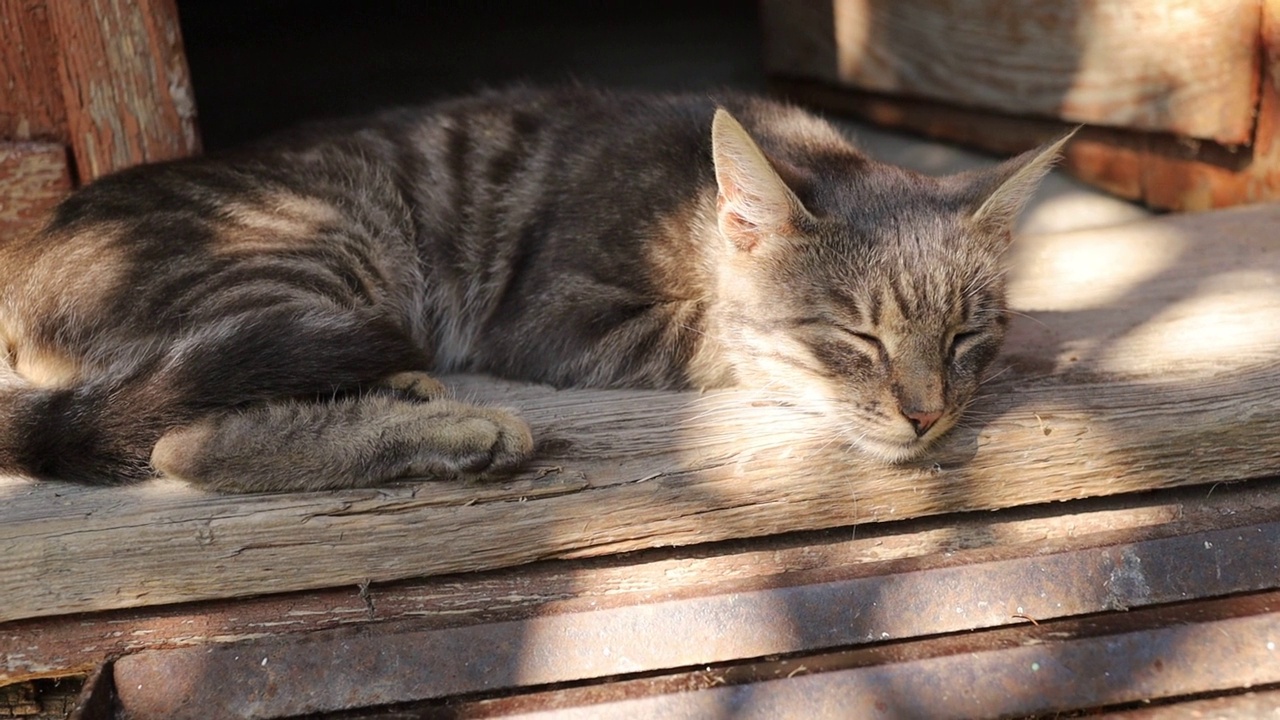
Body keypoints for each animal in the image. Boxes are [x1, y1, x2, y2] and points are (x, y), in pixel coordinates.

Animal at [0, 82, 1064, 486]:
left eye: (965, 337)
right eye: (858, 337)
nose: (926, 414)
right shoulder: (559, 316)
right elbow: (718, 342)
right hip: (316, 240)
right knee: (184, 443)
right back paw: (455, 429)